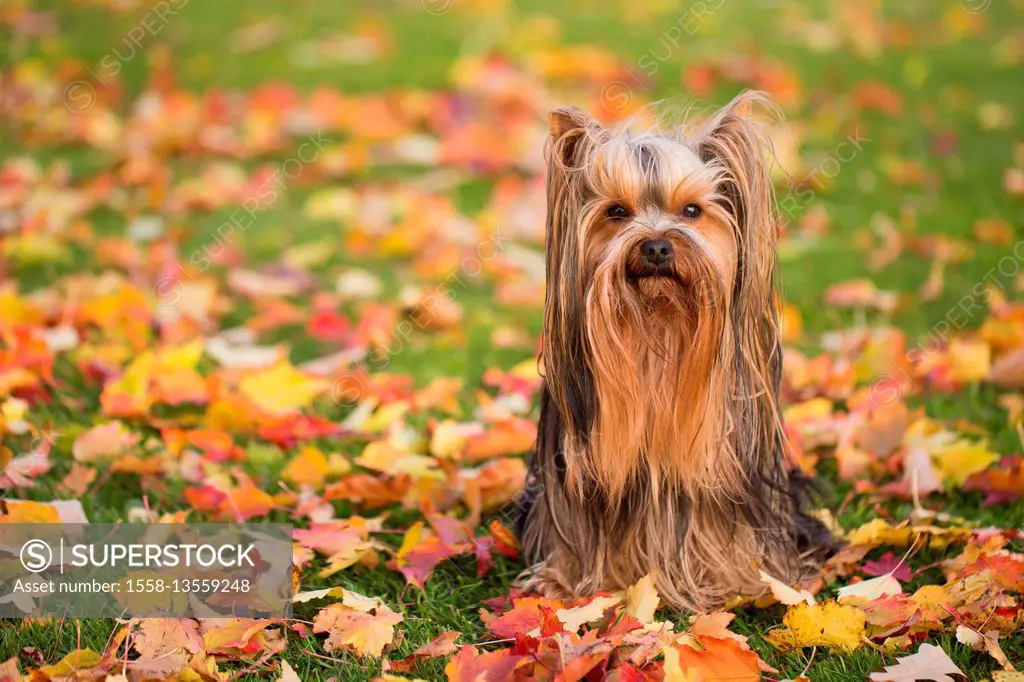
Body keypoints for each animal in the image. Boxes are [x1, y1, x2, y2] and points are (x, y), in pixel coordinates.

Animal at [520, 91, 831, 610]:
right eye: (616, 212)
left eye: (691, 211)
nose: (657, 247)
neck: (658, 331)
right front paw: (569, 583)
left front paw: (740, 582)